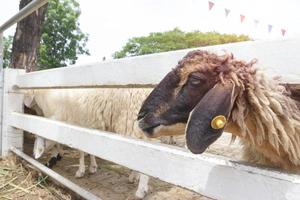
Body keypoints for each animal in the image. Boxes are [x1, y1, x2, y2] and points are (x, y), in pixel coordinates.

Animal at [24, 88, 177, 199]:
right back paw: (134, 177)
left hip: (133, 125)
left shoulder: (71, 124)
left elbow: (78, 150)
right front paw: (92, 167)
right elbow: (88, 150)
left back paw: (141, 190)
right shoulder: (89, 125)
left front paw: (79, 170)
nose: (33, 154)